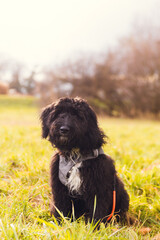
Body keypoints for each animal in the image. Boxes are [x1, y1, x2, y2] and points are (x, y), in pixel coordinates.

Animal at [40, 96, 129, 224]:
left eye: (77, 115)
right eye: (58, 113)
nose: (64, 129)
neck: (74, 155)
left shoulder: (98, 188)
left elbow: (98, 210)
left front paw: (95, 226)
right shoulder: (59, 186)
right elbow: (60, 207)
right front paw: (60, 224)